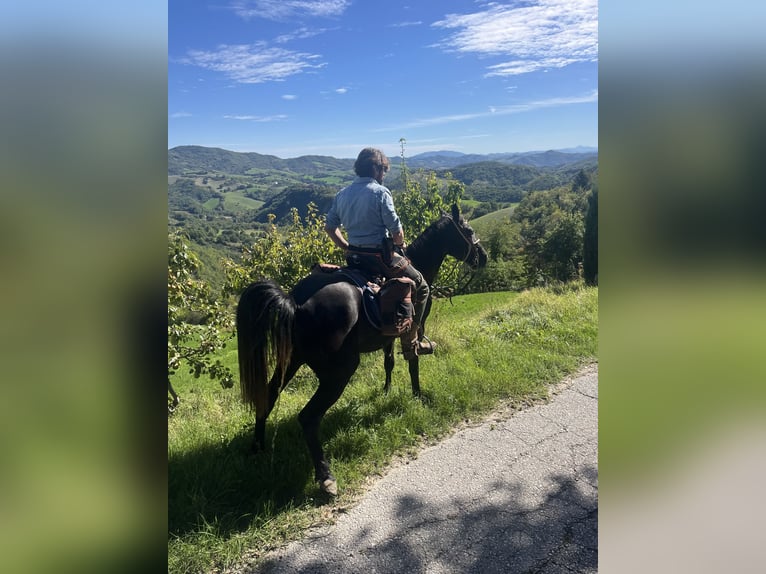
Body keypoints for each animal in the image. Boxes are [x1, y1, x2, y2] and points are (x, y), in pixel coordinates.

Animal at [236, 205, 486, 498]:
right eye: (468, 230)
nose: (483, 257)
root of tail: (295, 303)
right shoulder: (412, 329)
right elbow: (412, 360)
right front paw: (418, 395)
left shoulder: (388, 336)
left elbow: (389, 363)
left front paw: (386, 390)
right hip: (339, 372)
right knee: (308, 418)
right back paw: (326, 478)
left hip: (292, 360)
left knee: (269, 394)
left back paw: (258, 448)